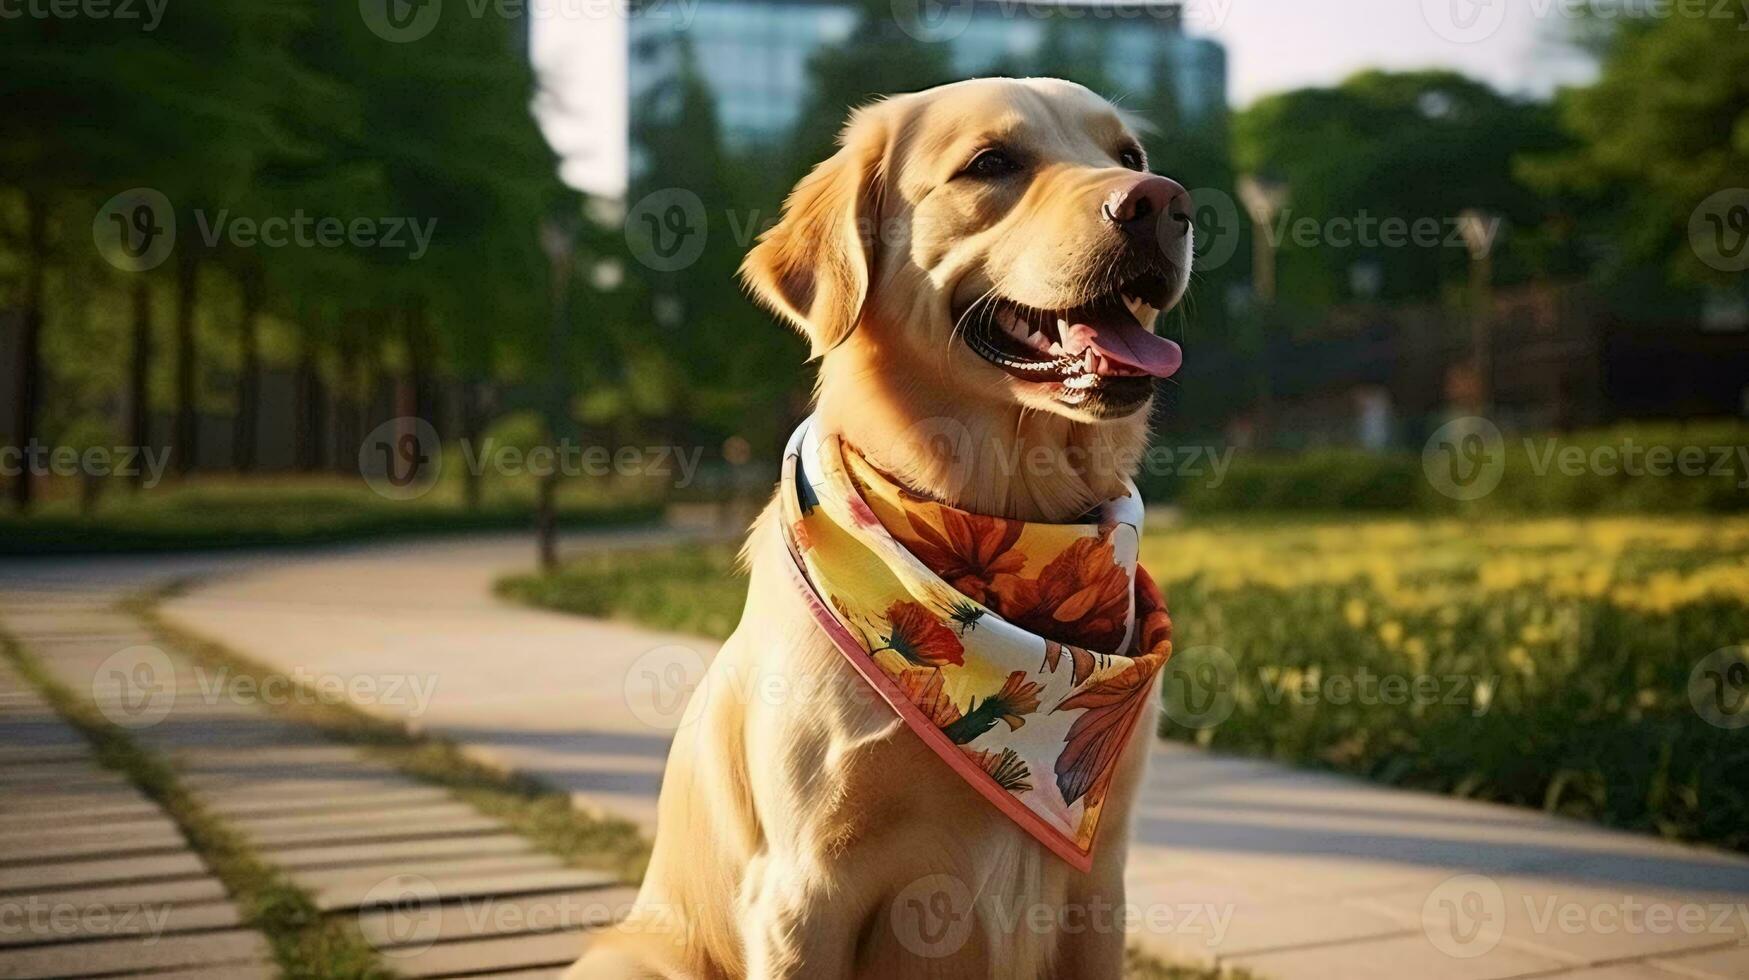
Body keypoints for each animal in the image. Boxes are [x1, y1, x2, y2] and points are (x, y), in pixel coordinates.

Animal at [566, 78, 1196, 980]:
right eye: (990, 164)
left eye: (1129, 155)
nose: (1162, 203)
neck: (1004, 516)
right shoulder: (802, 892)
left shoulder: (1097, 884)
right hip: (635, 957)